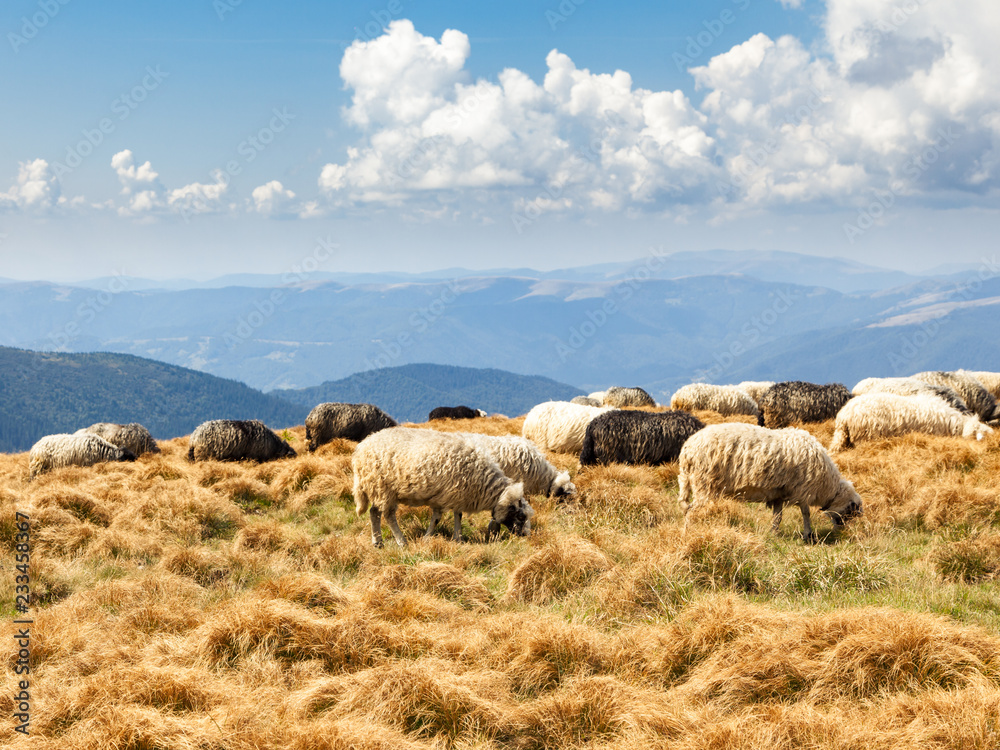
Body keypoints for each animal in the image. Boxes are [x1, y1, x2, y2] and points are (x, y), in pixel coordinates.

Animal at [352, 427, 534, 547]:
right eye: (521, 516)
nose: (526, 535)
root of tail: (362, 446)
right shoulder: (452, 493)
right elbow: (441, 518)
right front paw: (433, 537)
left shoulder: (454, 495)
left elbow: (454, 515)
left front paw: (455, 538)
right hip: (383, 487)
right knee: (388, 516)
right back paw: (401, 541)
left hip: (377, 488)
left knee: (374, 513)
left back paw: (378, 542)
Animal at [678, 423, 862, 543]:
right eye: (850, 512)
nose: (841, 533)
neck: (828, 487)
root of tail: (687, 450)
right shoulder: (803, 490)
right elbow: (806, 514)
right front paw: (808, 536)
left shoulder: (778, 494)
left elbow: (777, 516)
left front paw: (774, 533)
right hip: (704, 483)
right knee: (691, 512)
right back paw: (689, 533)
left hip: (695, 482)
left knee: (686, 508)